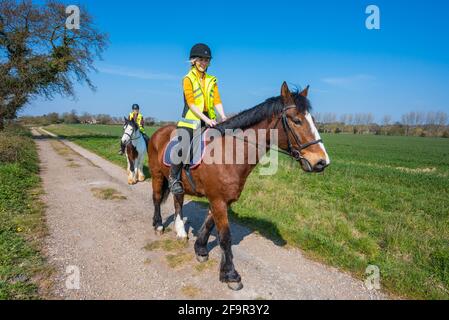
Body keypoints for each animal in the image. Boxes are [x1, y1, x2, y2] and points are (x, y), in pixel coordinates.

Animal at [147, 82, 328, 290]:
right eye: (296, 120)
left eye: (312, 120)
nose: (321, 162)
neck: (230, 153)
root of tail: (159, 132)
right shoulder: (218, 199)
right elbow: (225, 237)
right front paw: (230, 275)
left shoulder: (223, 199)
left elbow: (209, 224)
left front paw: (200, 249)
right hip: (157, 175)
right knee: (157, 198)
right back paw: (158, 225)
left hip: (179, 184)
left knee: (178, 201)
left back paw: (180, 232)